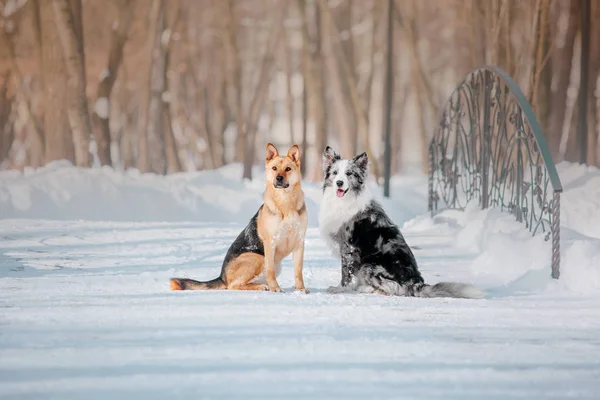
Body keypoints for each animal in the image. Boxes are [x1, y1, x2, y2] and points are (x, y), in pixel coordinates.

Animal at [170, 144, 308, 294]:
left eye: (288, 169)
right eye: (274, 168)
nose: (279, 178)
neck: (286, 204)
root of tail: (222, 277)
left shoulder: (299, 243)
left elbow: (298, 270)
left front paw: (301, 289)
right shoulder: (270, 243)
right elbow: (270, 271)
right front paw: (275, 288)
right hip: (258, 258)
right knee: (234, 285)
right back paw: (262, 287)